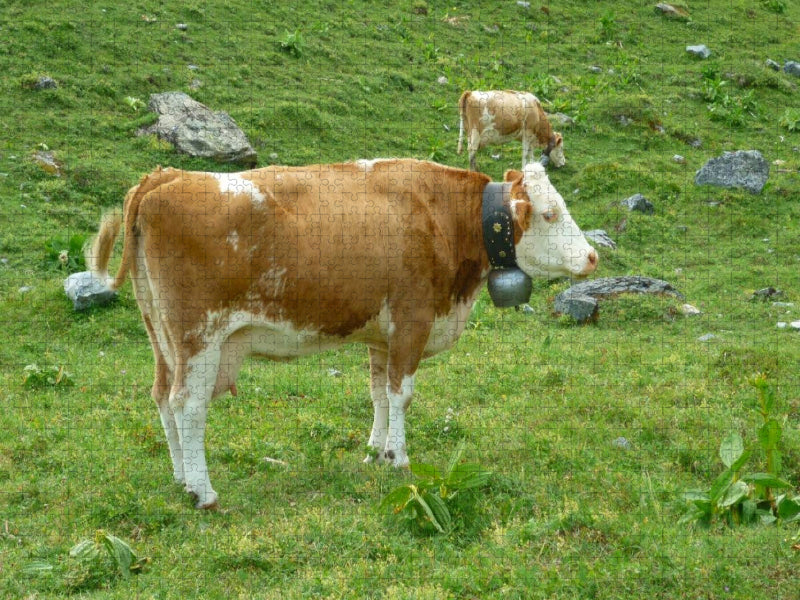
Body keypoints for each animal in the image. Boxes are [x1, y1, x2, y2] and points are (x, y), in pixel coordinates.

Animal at [89, 158, 597, 508]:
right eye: (550, 214)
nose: (593, 257)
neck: (443, 216)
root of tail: (166, 176)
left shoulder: (382, 335)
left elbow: (378, 393)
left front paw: (375, 451)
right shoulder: (412, 320)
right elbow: (401, 394)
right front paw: (400, 458)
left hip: (161, 334)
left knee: (161, 397)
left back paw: (180, 477)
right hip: (199, 336)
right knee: (187, 405)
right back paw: (203, 491)